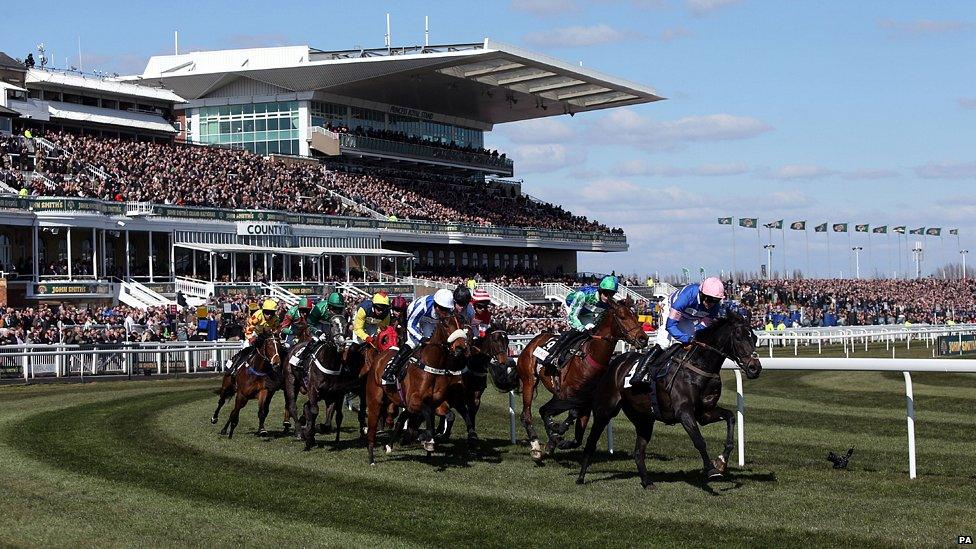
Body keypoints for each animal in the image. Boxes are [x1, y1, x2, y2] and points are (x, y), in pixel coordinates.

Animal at [366, 314, 472, 464]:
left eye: (462, 323)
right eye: (446, 324)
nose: (460, 347)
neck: (432, 365)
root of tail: (380, 356)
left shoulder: (437, 403)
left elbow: (449, 415)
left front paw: (437, 437)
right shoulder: (413, 402)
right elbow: (426, 412)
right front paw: (427, 439)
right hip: (375, 401)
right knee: (372, 427)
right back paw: (372, 457)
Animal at [510, 298, 648, 460]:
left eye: (635, 316)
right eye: (622, 317)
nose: (643, 339)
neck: (590, 357)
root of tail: (533, 341)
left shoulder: (585, 402)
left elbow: (577, 436)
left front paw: (556, 441)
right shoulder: (567, 395)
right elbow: (568, 415)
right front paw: (556, 433)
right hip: (529, 382)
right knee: (527, 415)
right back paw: (536, 447)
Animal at [576, 308, 768, 488]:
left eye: (754, 338)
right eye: (738, 337)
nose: (755, 368)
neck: (698, 366)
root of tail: (615, 361)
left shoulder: (704, 413)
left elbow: (730, 417)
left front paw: (721, 461)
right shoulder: (683, 412)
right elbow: (699, 441)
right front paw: (711, 469)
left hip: (644, 418)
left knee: (638, 452)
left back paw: (647, 482)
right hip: (605, 410)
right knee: (591, 442)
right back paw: (580, 477)